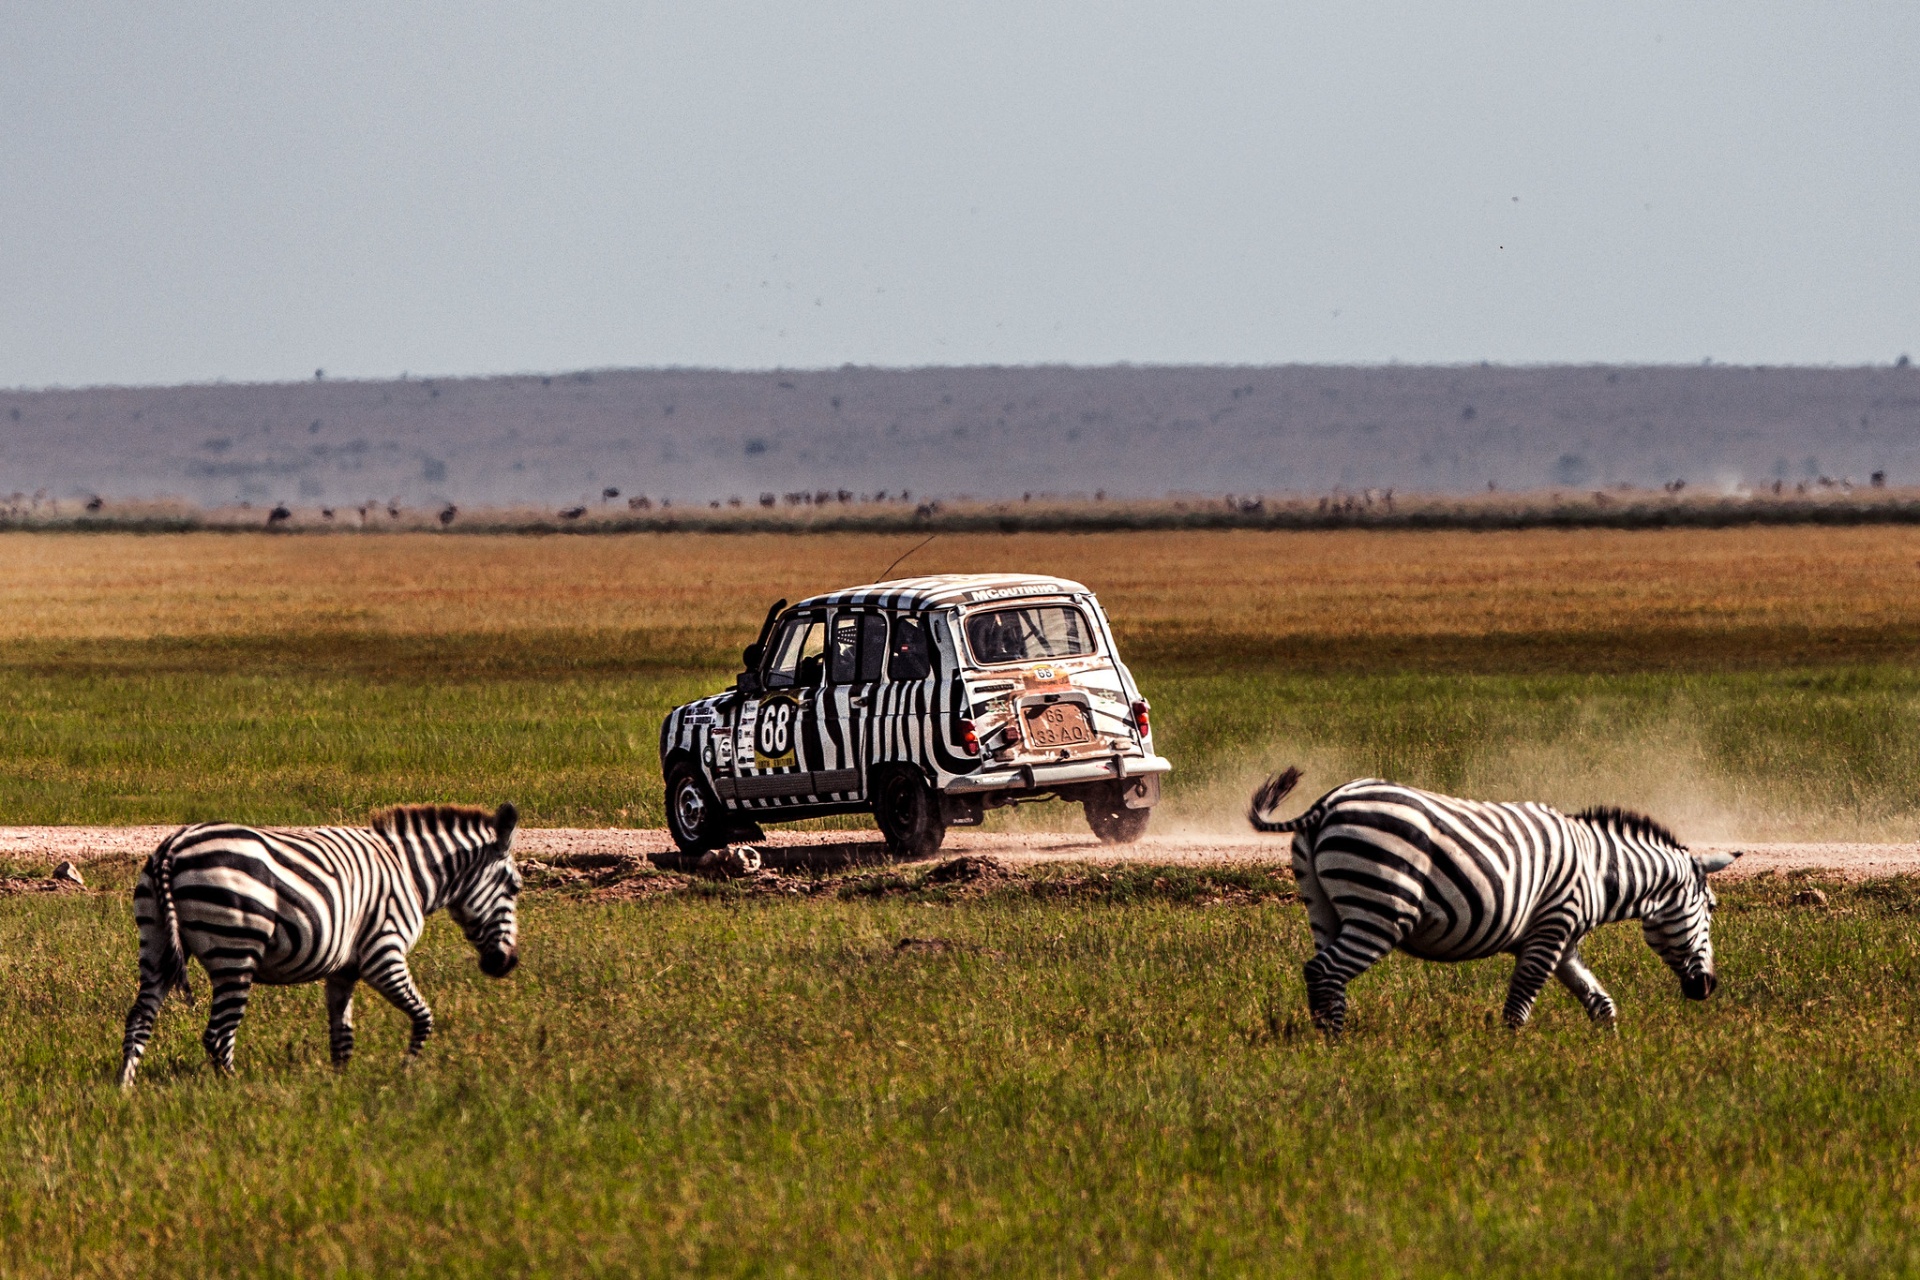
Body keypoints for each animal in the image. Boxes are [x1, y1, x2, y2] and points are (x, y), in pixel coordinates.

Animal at [119, 803, 522, 1087]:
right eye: (515, 888)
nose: (508, 963)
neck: (412, 874)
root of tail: (172, 848)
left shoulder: (344, 970)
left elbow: (342, 1036)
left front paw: (338, 1090)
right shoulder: (383, 954)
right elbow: (423, 1016)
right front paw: (405, 1072)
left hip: (155, 943)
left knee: (139, 1019)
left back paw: (125, 1089)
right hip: (235, 950)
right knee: (218, 1035)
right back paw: (237, 1090)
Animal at [1247, 768, 1738, 1036]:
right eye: (1711, 910)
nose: (1707, 987)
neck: (1601, 872)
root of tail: (1327, 802)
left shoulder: (1561, 940)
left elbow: (1600, 1002)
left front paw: (1613, 1051)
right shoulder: (1552, 928)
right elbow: (1519, 1003)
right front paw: (1506, 1059)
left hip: (1323, 908)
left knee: (1324, 975)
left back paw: (1328, 1041)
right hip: (1381, 909)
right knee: (1325, 971)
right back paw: (1336, 1047)